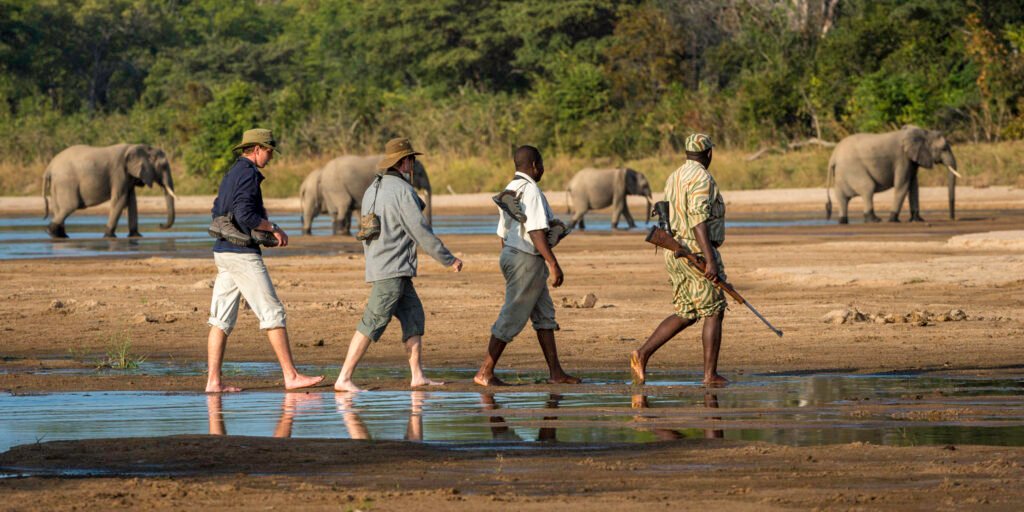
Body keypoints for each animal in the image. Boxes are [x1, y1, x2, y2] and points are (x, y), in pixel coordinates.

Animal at [42, 144, 177, 238]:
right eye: (163, 166)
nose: (160, 225)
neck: (136, 147)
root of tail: (49, 166)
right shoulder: (119, 173)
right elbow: (120, 199)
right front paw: (109, 236)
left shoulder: (128, 176)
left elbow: (132, 201)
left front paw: (136, 236)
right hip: (65, 182)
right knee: (70, 206)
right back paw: (51, 232)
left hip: (57, 183)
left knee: (58, 208)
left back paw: (61, 235)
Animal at [300, 155, 431, 235]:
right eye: (420, 174)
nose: (431, 228)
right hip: (333, 187)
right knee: (342, 206)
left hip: (331, 188)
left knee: (337, 211)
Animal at [826, 125, 961, 224]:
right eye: (944, 148)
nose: (952, 219)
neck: (922, 132)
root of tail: (833, 156)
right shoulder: (902, 159)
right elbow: (903, 185)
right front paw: (893, 220)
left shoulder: (912, 160)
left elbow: (914, 186)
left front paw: (918, 220)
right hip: (853, 169)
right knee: (868, 187)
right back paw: (875, 220)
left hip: (842, 173)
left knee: (842, 197)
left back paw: (843, 221)